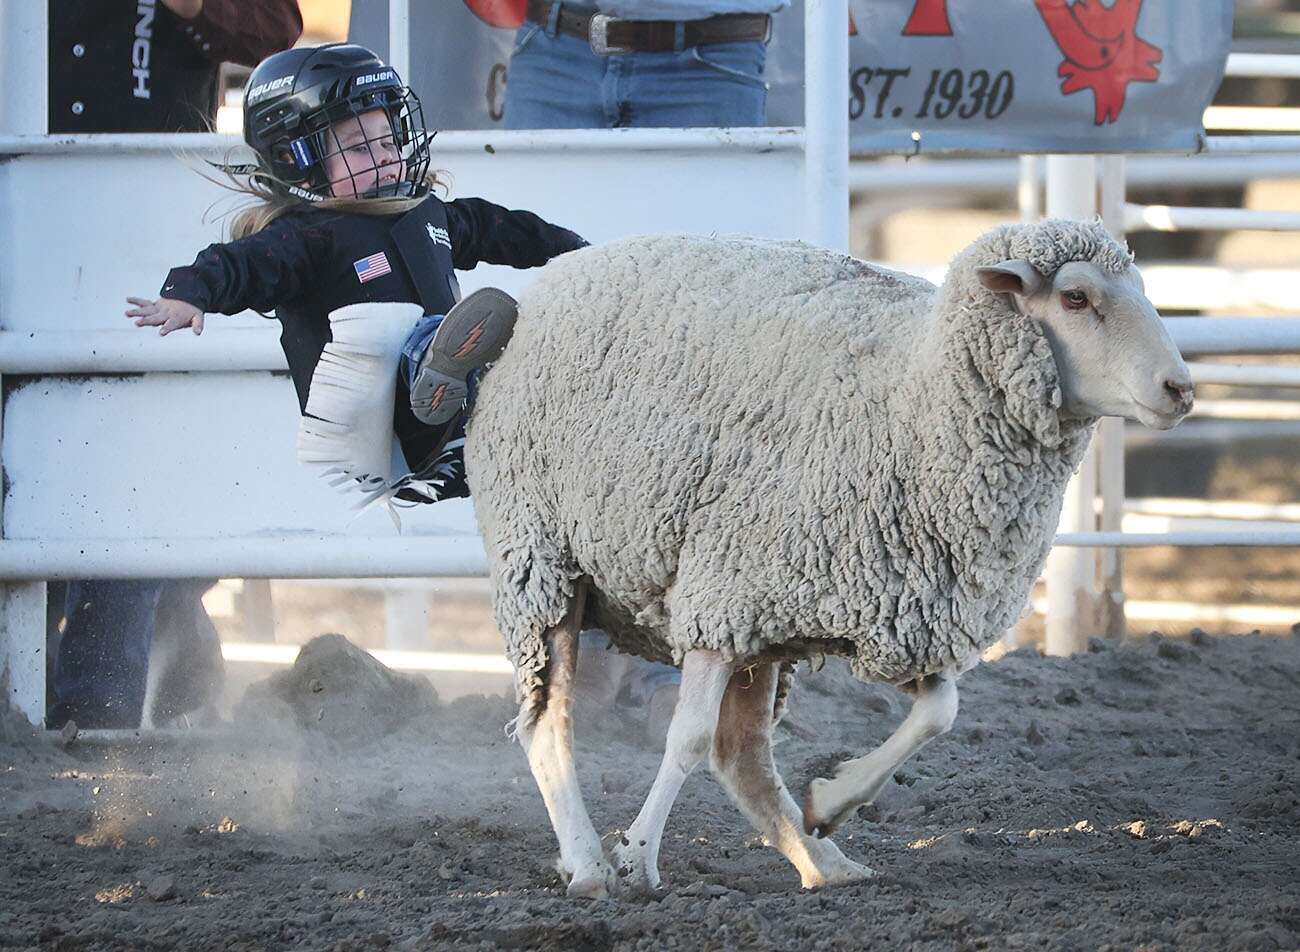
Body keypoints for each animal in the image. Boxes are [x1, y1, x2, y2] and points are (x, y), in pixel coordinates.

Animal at [467, 219, 1196, 894]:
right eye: (1076, 297)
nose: (1180, 388)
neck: (913, 398)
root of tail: (549, 284)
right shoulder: (720, 595)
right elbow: (686, 738)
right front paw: (639, 856)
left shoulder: (885, 613)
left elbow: (941, 712)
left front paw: (831, 803)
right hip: (544, 565)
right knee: (549, 725)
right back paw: (591, 865)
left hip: (759, 630)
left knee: (743, 755)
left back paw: (824, 862)